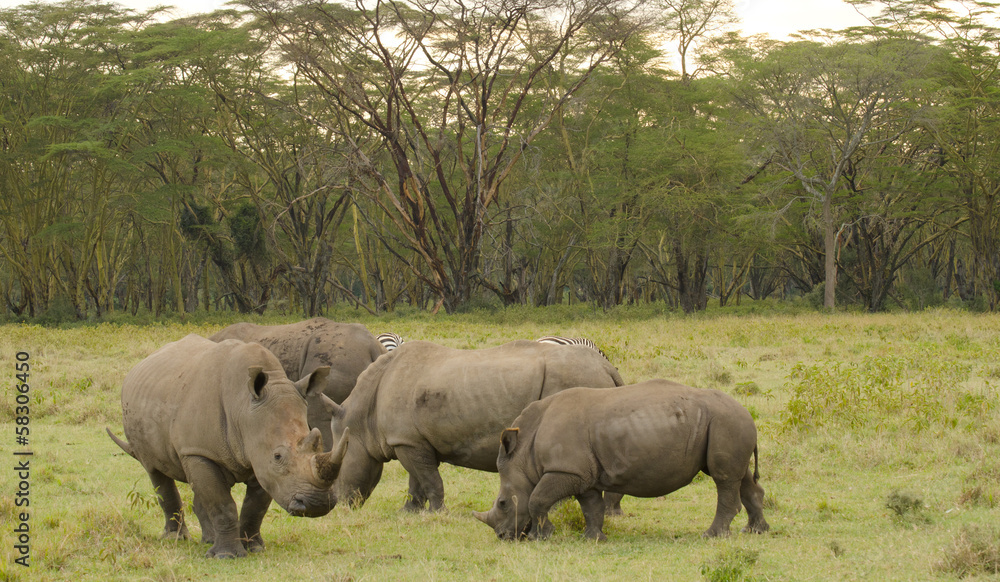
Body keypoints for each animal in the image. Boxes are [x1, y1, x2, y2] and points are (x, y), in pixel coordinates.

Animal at [106, 334, 349, 558]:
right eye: (278, 456)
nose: (318, 504)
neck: (242, 408)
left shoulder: (259, 459)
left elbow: (255, 506)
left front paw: (254, 548)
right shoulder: (199, 451)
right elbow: (222, 504)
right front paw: (227, 556)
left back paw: (208, 540)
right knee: (156, 472)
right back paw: (176, 539)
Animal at [331, 340, 624, 512]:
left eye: (338, 468)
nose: (338, 504)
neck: (362, 417)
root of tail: (607, 367)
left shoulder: (406, 440)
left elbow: (428, 478)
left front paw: (437, 513)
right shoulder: (411, 440)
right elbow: (417, 480)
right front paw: (409, 513)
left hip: (574, 377)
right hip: (587, 378)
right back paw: (612, 513)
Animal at [474, 379, 770, 541]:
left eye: (503, 503)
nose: (503, 537)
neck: (524, 455)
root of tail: (747, 412)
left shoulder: (565, 471)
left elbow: (537, 499)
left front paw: (540, 537)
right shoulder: (582, 474)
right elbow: (591, 506)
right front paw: (593, 538)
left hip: (725, 421)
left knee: (724, 479)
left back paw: (711, 535)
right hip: (726, 422)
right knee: (740, 477)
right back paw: (755, 531)